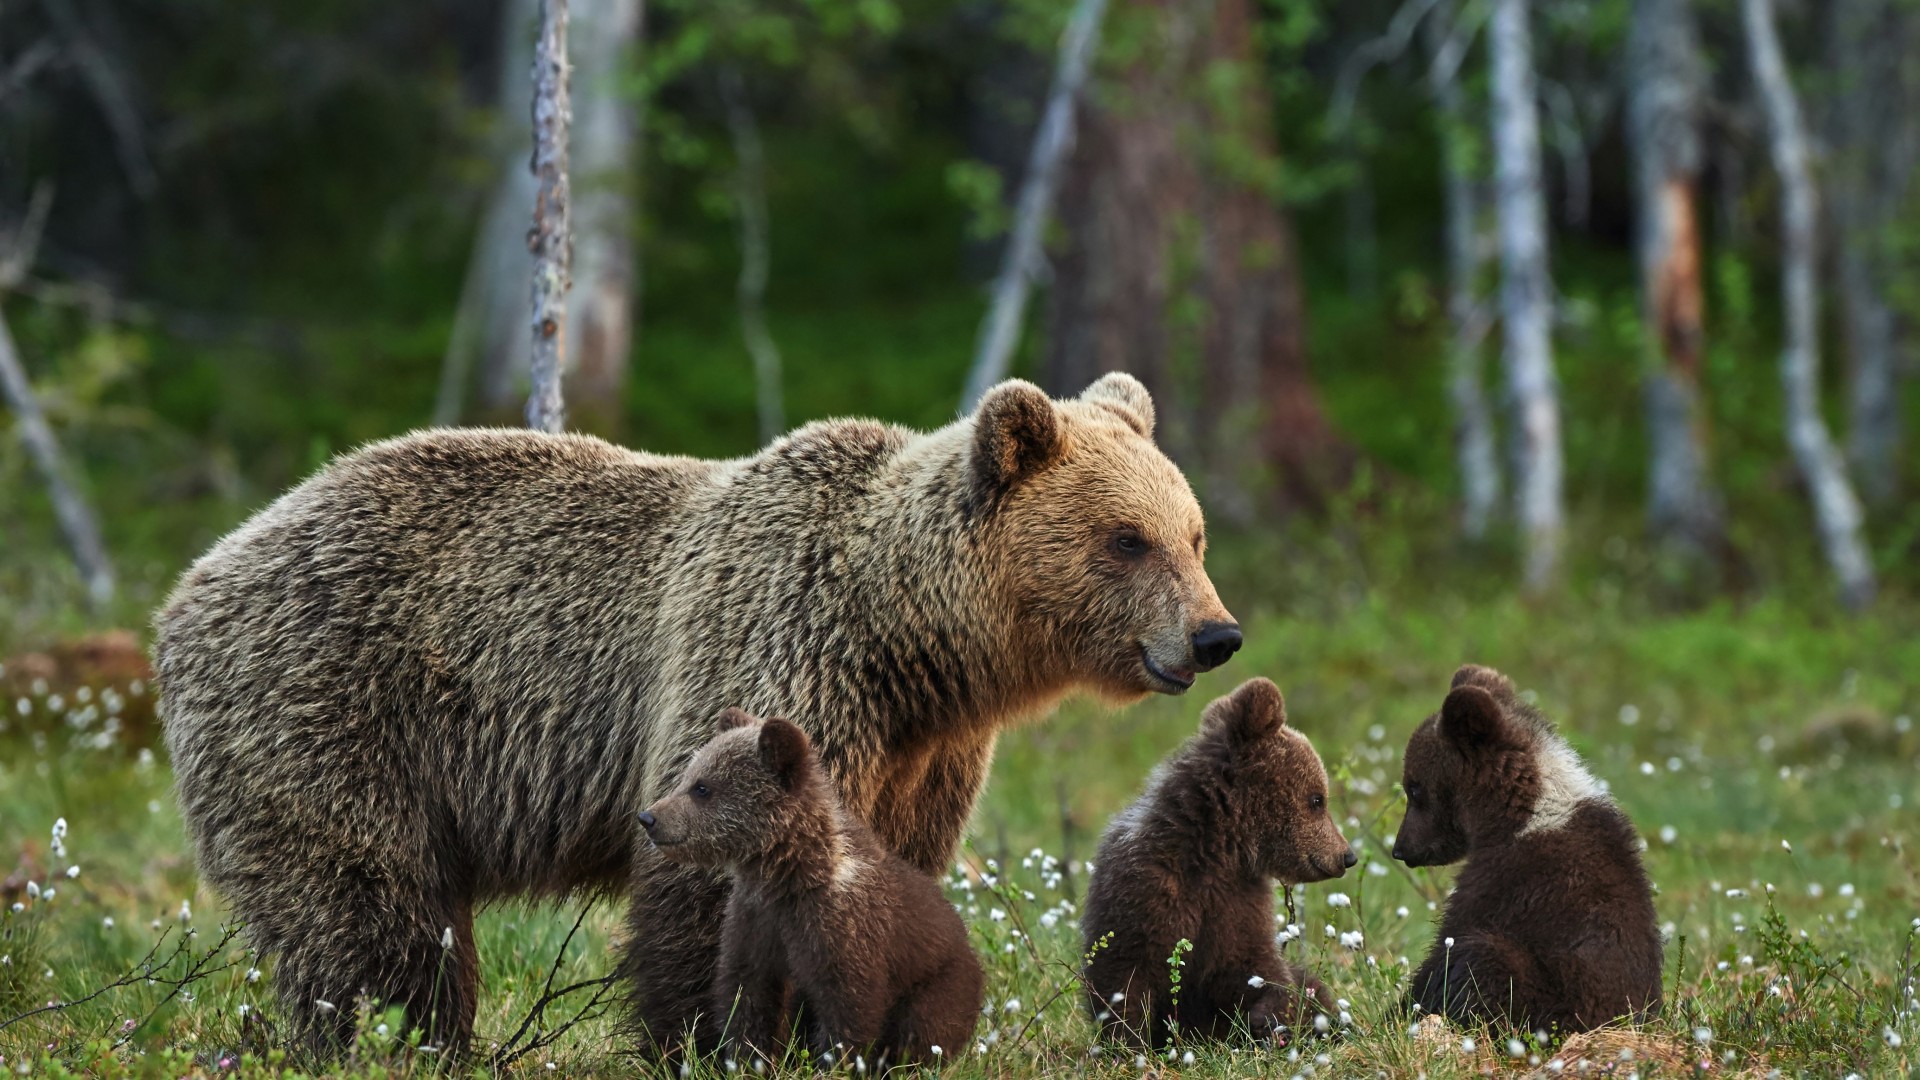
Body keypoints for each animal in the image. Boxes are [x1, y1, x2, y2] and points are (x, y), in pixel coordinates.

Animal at [153, 376, 1244, 1053]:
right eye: (1127, 539)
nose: (1215, 636)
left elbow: (887, 872)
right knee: (366, 907)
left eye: (1194, 534)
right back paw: (400, 1037)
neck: (909, 641)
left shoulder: (924, 754)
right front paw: (718, 1037)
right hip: (331, 709)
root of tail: (193, 582)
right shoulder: (777, 653)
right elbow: (715, 876)